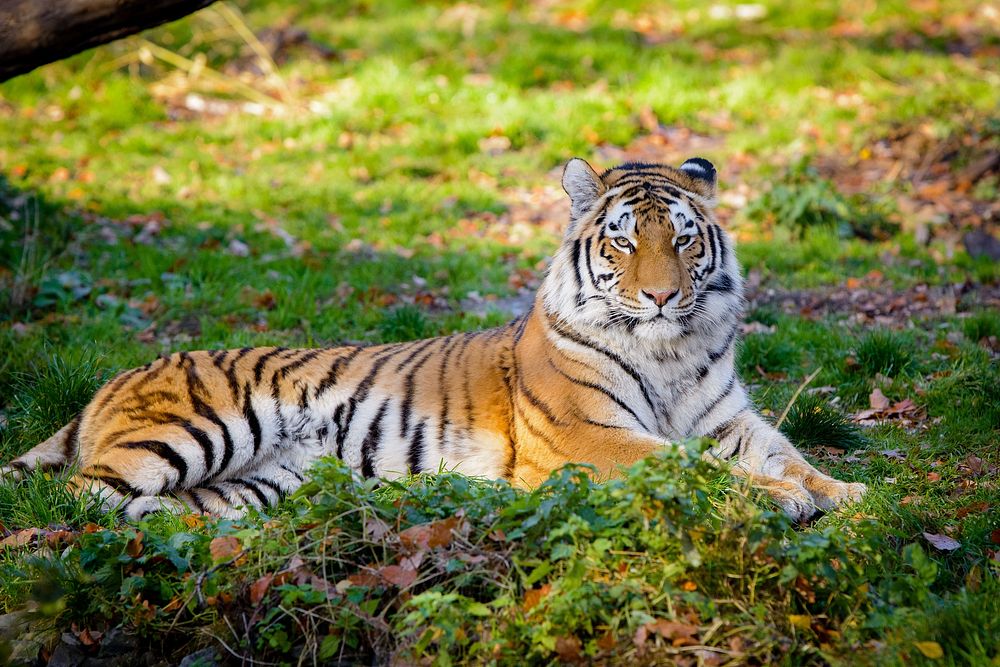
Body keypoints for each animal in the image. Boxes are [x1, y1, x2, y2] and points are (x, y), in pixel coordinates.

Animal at [0, 157, 864, 520]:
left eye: (683, 240)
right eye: (623, 241)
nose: (659, 293)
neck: (671, 348)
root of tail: (107, 383)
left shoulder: (730, 420)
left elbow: (791, 455)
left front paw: (850, 495)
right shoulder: (589, 436)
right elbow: (694, 467)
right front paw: (786, 501)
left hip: (253, 482)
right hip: (191, 431)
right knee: (72, 497)